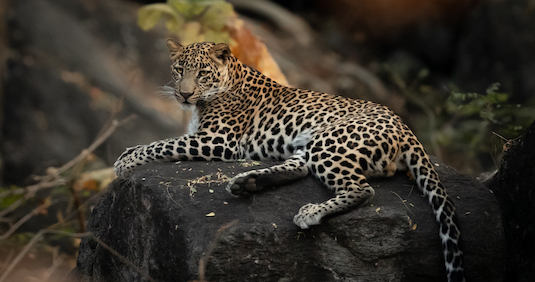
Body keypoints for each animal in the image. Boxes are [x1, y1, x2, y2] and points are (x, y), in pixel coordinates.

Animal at [115, 39, 466, 282]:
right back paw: (247, 183)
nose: (184, 94)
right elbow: (161, 142)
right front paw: (125, 156)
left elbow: (161, 145)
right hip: (310, 144)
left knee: (361, 189)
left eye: (202, 73)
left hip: (330, 141)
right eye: (179, 70)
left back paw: (309, 212)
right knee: (300, 168)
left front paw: (125, 161)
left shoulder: (218, 140)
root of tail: (406, 128)